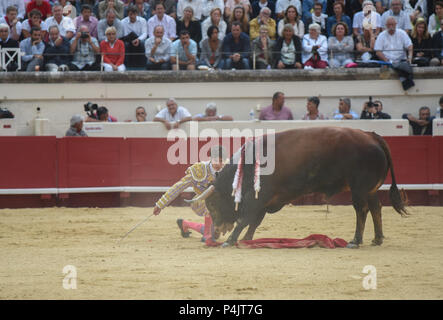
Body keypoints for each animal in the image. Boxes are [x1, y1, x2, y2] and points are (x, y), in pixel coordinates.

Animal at [186, 127, 408, 248]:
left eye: (212, 204)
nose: (216, 232)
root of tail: (372, 136)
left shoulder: (259, 196)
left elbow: (244, 219)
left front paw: (231, 240)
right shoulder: (265, 200)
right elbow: (254, 221)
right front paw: (248, 240)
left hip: (359, 188)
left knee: (362, 210)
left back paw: (355, 240)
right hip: (370, 189)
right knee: (376, 208)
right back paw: (377, 239)